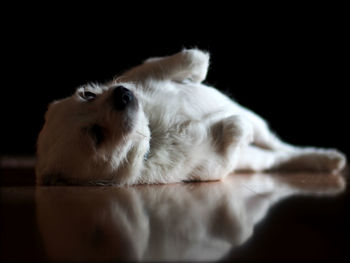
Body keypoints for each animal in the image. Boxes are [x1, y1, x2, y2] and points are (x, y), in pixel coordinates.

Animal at [34, 49, 344, 186]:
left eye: (87, 94)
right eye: (96, 135)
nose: (123, 95)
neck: (152, 128)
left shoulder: (147, 72)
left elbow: (187, 59)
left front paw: (194, 71)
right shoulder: (216, 165)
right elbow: (233, 132)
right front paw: (233, 127)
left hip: (262, 125)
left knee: (281, 146)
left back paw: (327, 158)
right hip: (258, 158)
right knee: (278, 155)